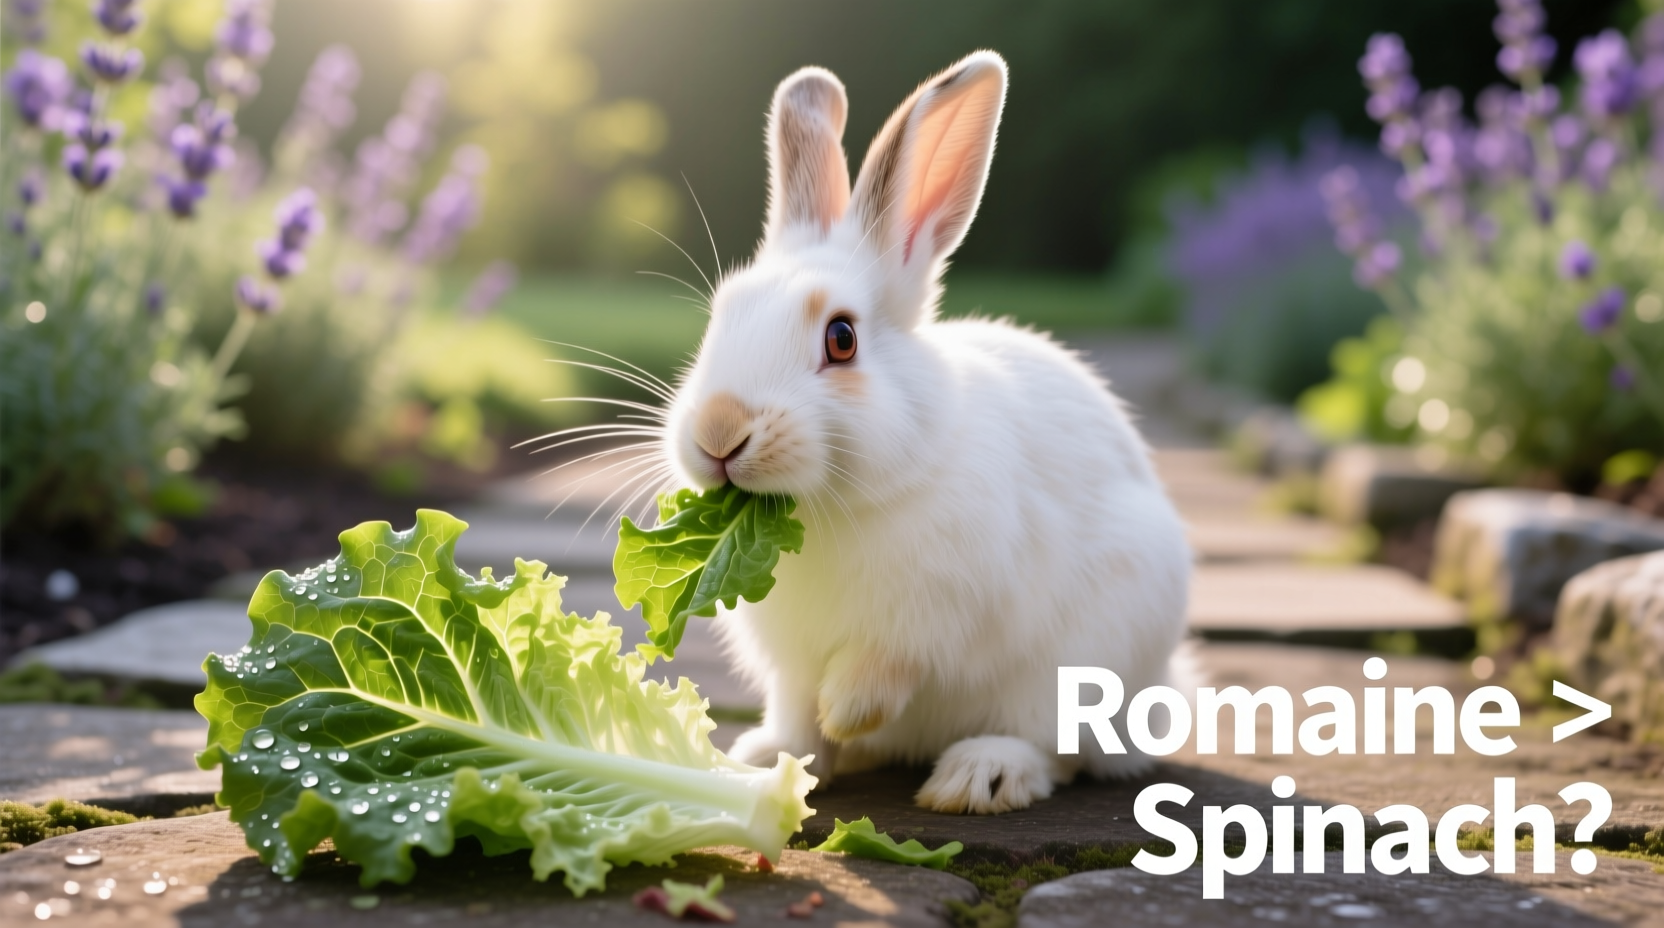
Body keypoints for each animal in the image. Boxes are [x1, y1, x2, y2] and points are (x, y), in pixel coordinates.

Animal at [659, 49, 1193, 814]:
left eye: (842, 338)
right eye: (720, 317)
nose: (719, 431)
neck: (829, 510)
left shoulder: (938, 613)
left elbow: (888, 666)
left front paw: (846, 712)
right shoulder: (790, 663)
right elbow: (798, 715)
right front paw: (780, 758)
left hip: (1088, 660)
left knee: (1054, 747)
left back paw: (980, 776)